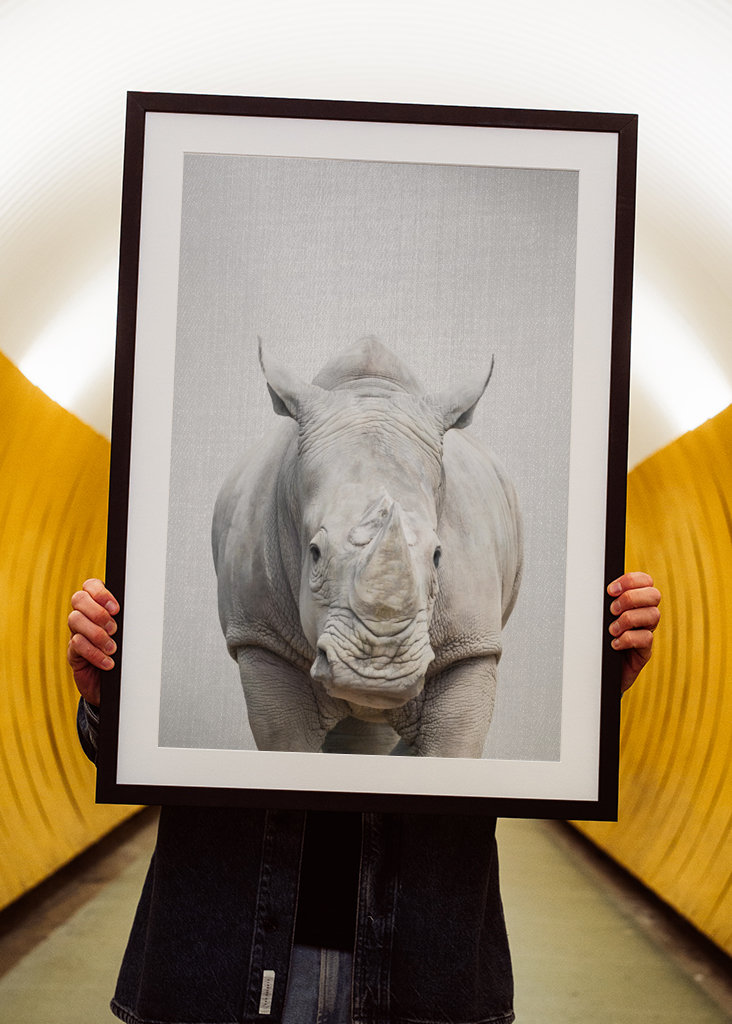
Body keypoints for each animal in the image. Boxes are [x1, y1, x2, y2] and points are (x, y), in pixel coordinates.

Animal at [212, 338, 522, 757]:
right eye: (314, 553)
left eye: (438, 556)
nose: (378, 671)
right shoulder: (261, 635)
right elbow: (286, 740)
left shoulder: (471, 645)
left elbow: (451, 745)